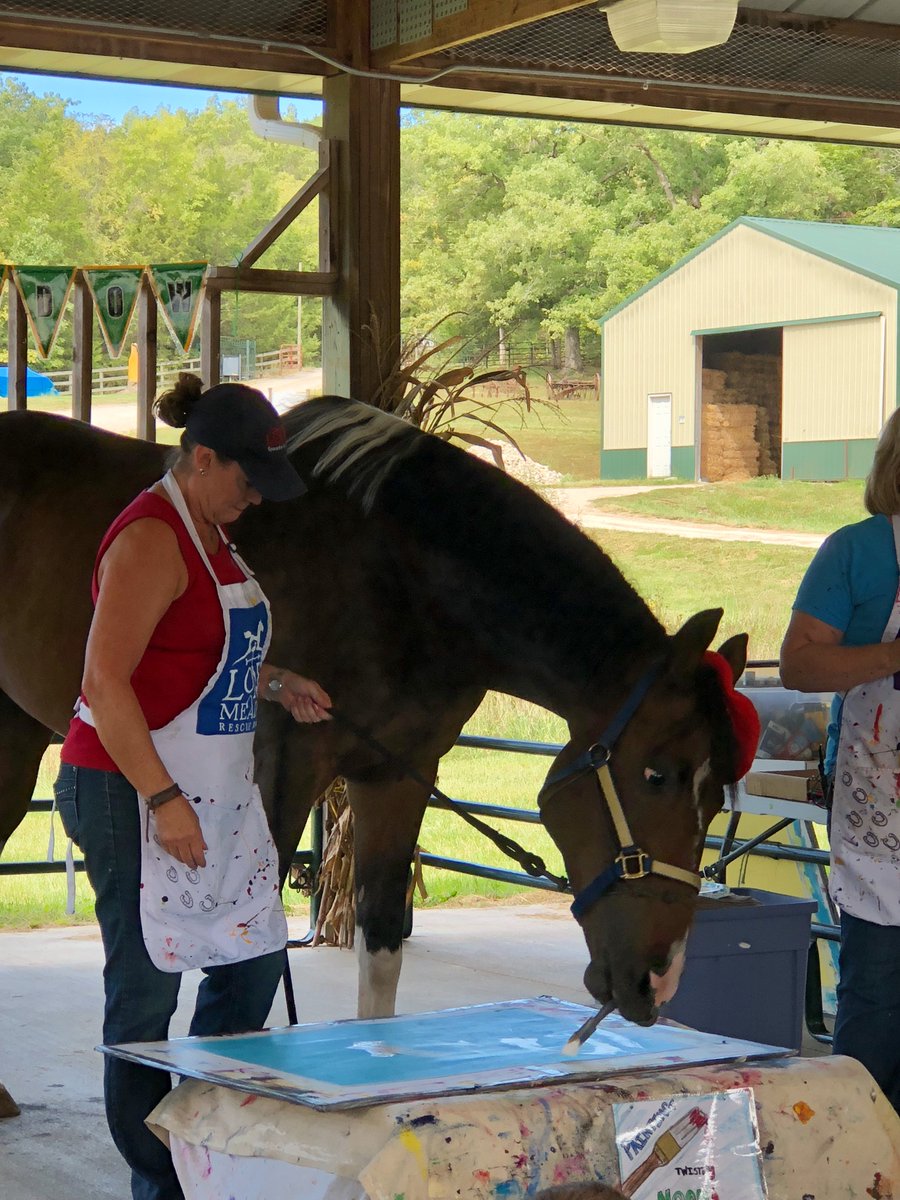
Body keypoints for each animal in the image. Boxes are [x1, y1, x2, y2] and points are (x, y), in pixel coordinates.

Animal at [0, 397, 748, 1025]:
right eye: (658, 776)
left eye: (717, 800)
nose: (660, 981)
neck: (397, 574)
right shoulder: (280, 772)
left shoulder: (395, 773)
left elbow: (382, 945)